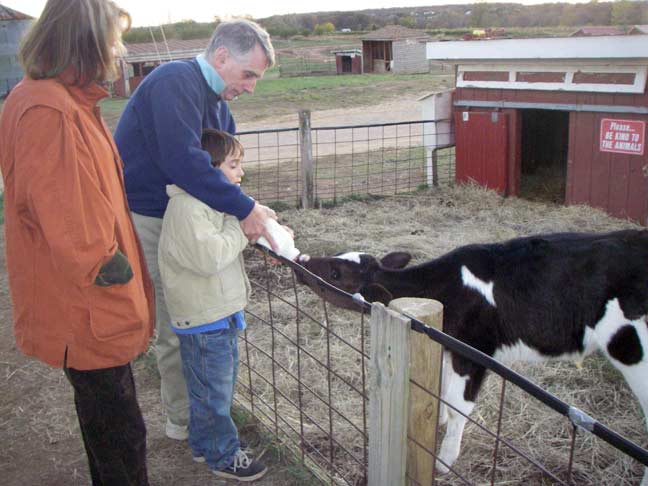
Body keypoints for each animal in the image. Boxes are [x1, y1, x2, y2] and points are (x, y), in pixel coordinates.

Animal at [298, 230, 648, 484]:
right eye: (338, 258)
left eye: (335, 273)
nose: (302, 259)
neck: (445, 289)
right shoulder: (447, 343)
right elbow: (441, 388)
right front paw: (436, 420)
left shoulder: (476, 350)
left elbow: (458, 405)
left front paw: (444, 459)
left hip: (633, 352)